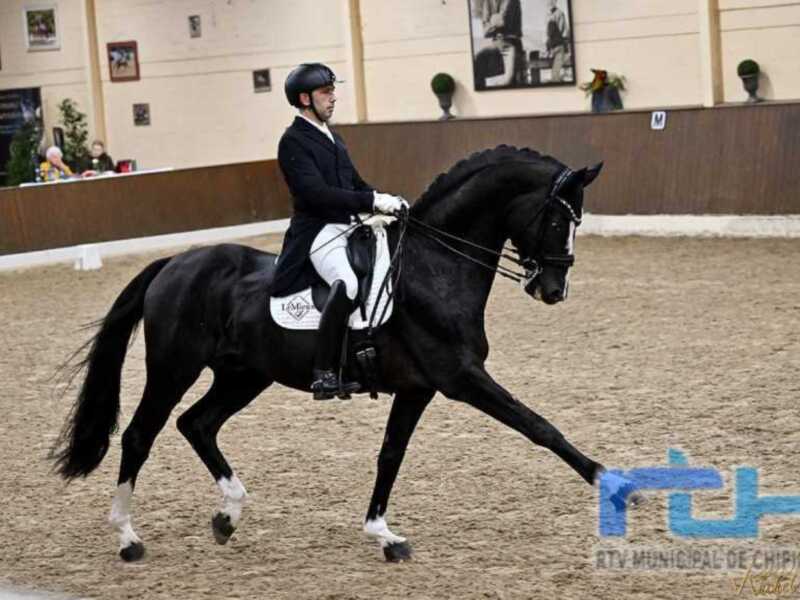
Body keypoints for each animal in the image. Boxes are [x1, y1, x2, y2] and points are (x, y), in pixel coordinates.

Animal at [51, 145, 639, 563]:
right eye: (559, 220)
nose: (553, 290)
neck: (433, 267)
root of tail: (174, 263)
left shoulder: (419, 388)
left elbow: (390, 454)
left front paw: (383, 534)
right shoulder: (461, 378)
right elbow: (539, 426)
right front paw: (610, 484)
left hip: (244, 375)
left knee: (197, 424)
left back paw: (228, 515)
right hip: (174, 367)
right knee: (139, 435)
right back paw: (128, 538)